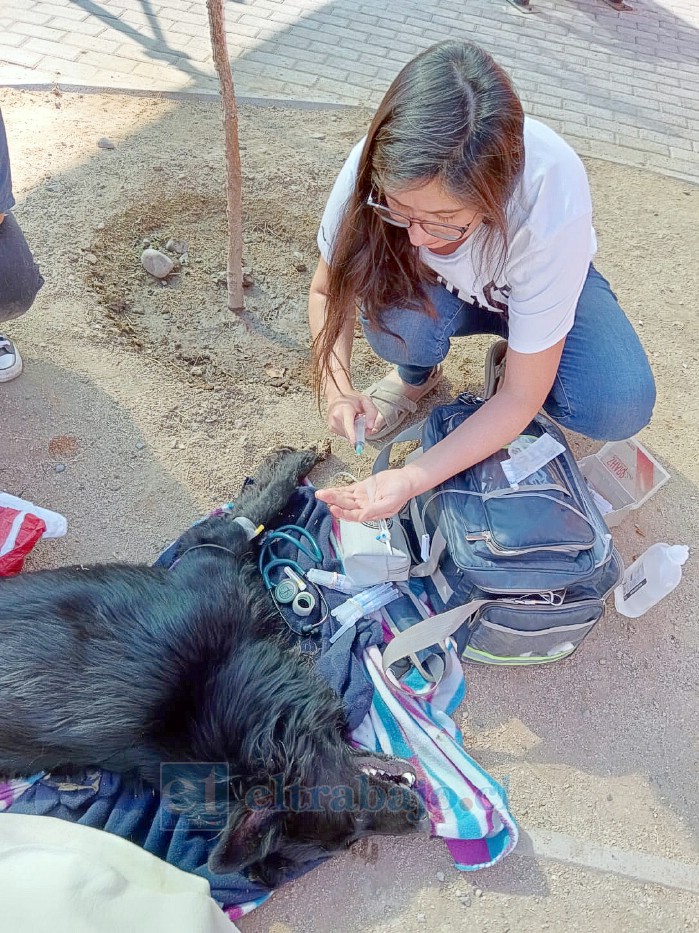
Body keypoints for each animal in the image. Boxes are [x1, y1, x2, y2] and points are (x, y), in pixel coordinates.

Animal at [0, 448, 426, 884]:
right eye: (350, 833)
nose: (420, 817)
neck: (204, 692)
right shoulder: (215, 545)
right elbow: (254, 511)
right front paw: (294, 463)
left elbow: (259, 506)